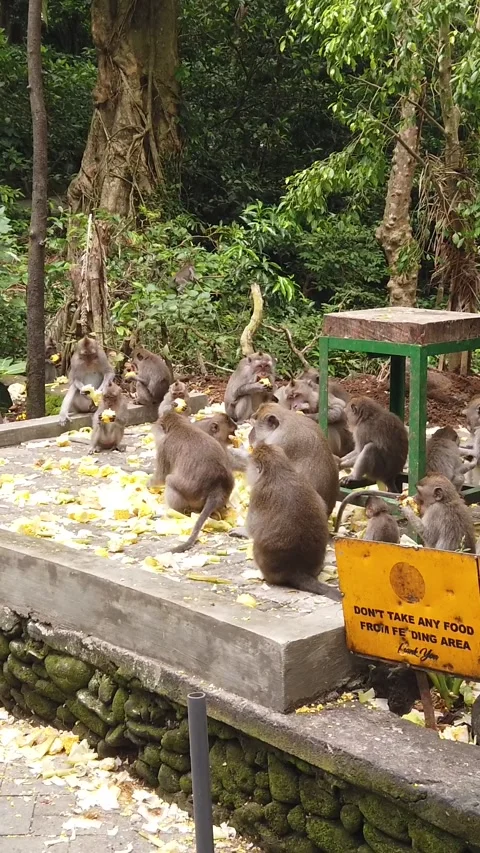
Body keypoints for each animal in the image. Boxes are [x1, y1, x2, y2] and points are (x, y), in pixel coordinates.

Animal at [150, 411, 234, 553]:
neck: (179, 426)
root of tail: (217, 488)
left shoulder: (163, 446)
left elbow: (161, 477)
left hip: (191, 494)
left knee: (170, 480)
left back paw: (169, 512)